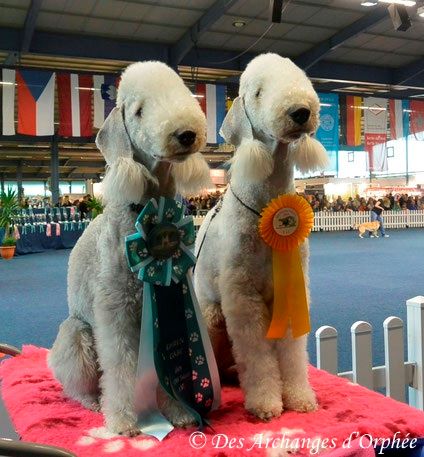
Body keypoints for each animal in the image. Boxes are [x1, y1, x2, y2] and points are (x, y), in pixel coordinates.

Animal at [48, 60, 210, 434]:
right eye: (138, 111)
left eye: (182, 94)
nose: (186, 134)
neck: (146, 207)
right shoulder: (116, 310)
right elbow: (120, 366)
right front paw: (123, 421)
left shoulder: (169, 298)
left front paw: (177, 412)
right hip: (76, 333)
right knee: (78, 386)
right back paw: (95, 405)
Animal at [194, 53, 330, 420]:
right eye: (257, 92)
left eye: (301, 80)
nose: (301, 112)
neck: (264, 206)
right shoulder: (243, 295)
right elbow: (257, 355)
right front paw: (266, 403)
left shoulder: (293, 287)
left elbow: (292, 351)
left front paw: (299, 397)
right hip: (210, 318)